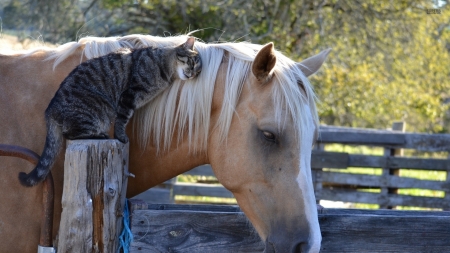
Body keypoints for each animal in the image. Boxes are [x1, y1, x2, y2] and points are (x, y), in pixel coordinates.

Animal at [18, 36, 202, 187]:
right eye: (191, 62)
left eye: (198, 70)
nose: (192, 74)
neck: (164, 67)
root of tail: (50, 109)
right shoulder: (129, 96)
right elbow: (122, 120)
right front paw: (121, 136)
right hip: (98, 109)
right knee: (71, 134)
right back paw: (100, 135)